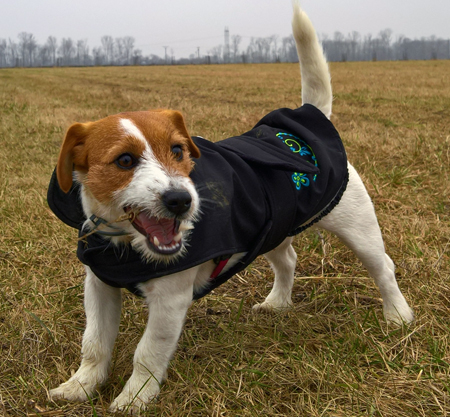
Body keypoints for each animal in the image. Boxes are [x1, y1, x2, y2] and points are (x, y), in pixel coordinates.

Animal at [47, 4, 414, 412]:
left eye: (178, 150)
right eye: (124, 160)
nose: (182, 201)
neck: (125, 245)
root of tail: (305, 121)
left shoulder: (170, 301)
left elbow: (147, 353)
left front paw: (135, 397)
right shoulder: (99, 287)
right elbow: (94, 343)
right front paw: (81, 386)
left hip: (358, 228)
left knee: (383, 268)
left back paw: (397, 316)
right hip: (272, 228)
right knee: (288, 262)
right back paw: (277, 303)